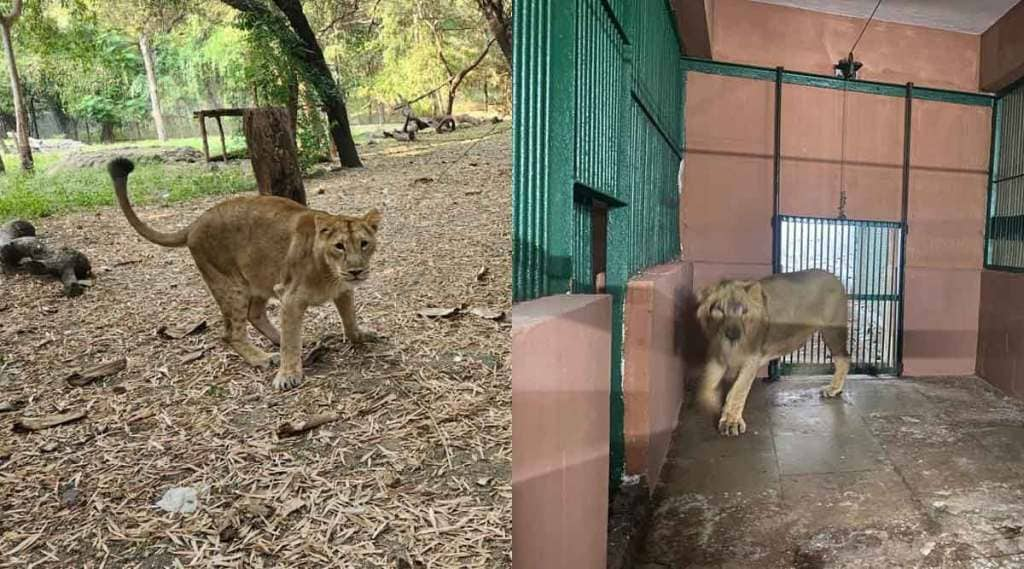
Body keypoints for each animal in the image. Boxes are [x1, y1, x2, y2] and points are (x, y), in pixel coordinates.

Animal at [107, 158, 385, 390]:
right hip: (231, 286)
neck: (330, 273)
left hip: (260, 278)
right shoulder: (290, 296)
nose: (357, 271)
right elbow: (292, 340)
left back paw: (282, 341)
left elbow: (349, 319)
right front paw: (287, 375)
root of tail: (194, 224)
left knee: (255, 314)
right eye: (339, 246)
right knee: (231, 334)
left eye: (364, 243)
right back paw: (263, 358)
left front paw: (361, 336)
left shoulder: (342, 291)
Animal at [692, 270, 851, 435]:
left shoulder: (752, 358)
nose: (733, 335)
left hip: (833, 331)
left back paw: (833, 389)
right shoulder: (716, 355)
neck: (730, 346)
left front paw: (731, 422)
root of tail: (834, 277)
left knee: (844, 359)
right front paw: (712, 401)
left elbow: (738, 389)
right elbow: (706, 383)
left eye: (744, 311)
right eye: (719, 310)